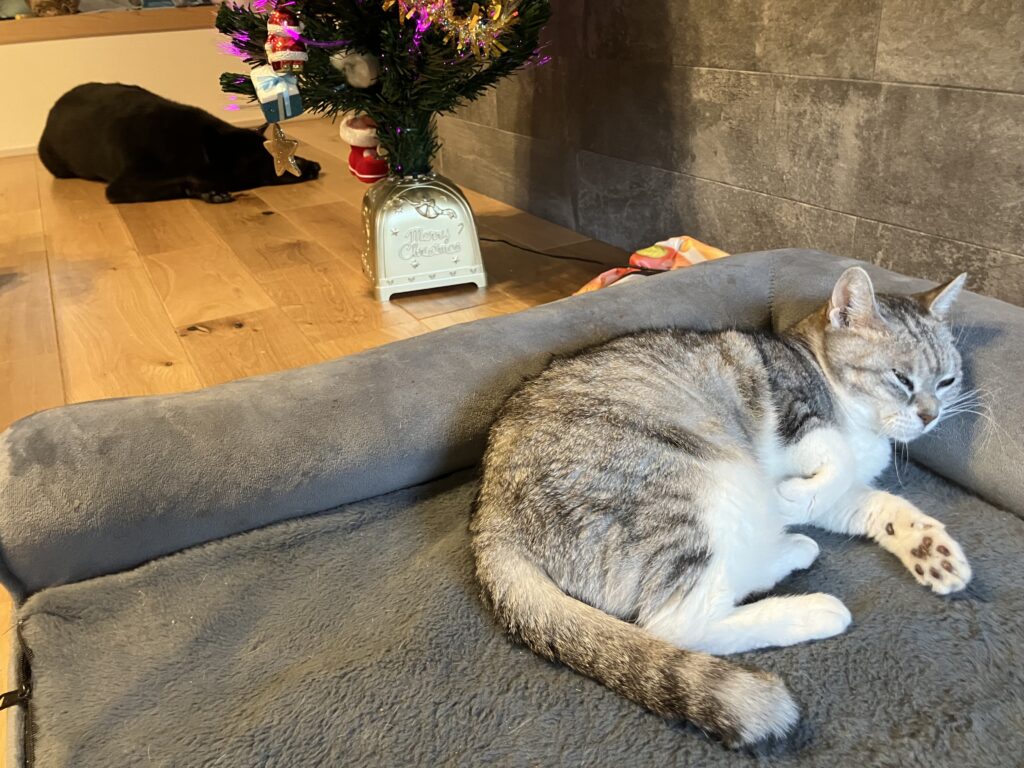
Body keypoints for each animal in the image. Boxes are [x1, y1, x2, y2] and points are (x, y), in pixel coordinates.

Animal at [471, 267, 970, 749]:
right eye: (901, 378)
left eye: (947, 381)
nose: (931, 416)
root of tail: (490, 517)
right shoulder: (795, 413)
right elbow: (835, 455)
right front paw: (792, 494)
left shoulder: (843, 494)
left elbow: (875, 502)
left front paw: (930, 549)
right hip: (702, 482)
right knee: (678, 624)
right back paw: (811, 604)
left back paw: (790, 549)